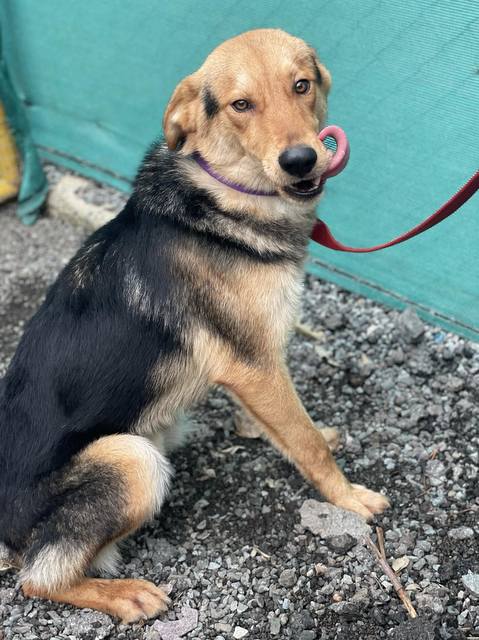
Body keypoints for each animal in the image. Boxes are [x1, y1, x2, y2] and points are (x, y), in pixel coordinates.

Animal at [0, 29, 389, 622]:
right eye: (240, 105)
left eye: (301, 85)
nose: (301, 161)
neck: (222, 190)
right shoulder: (253, 364)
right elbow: (306, 444)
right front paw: (347, 498)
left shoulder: (252, 366)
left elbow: (289, 425)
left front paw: (284, 431)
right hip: (132, 459)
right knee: (39, 577)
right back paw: (122, 594)